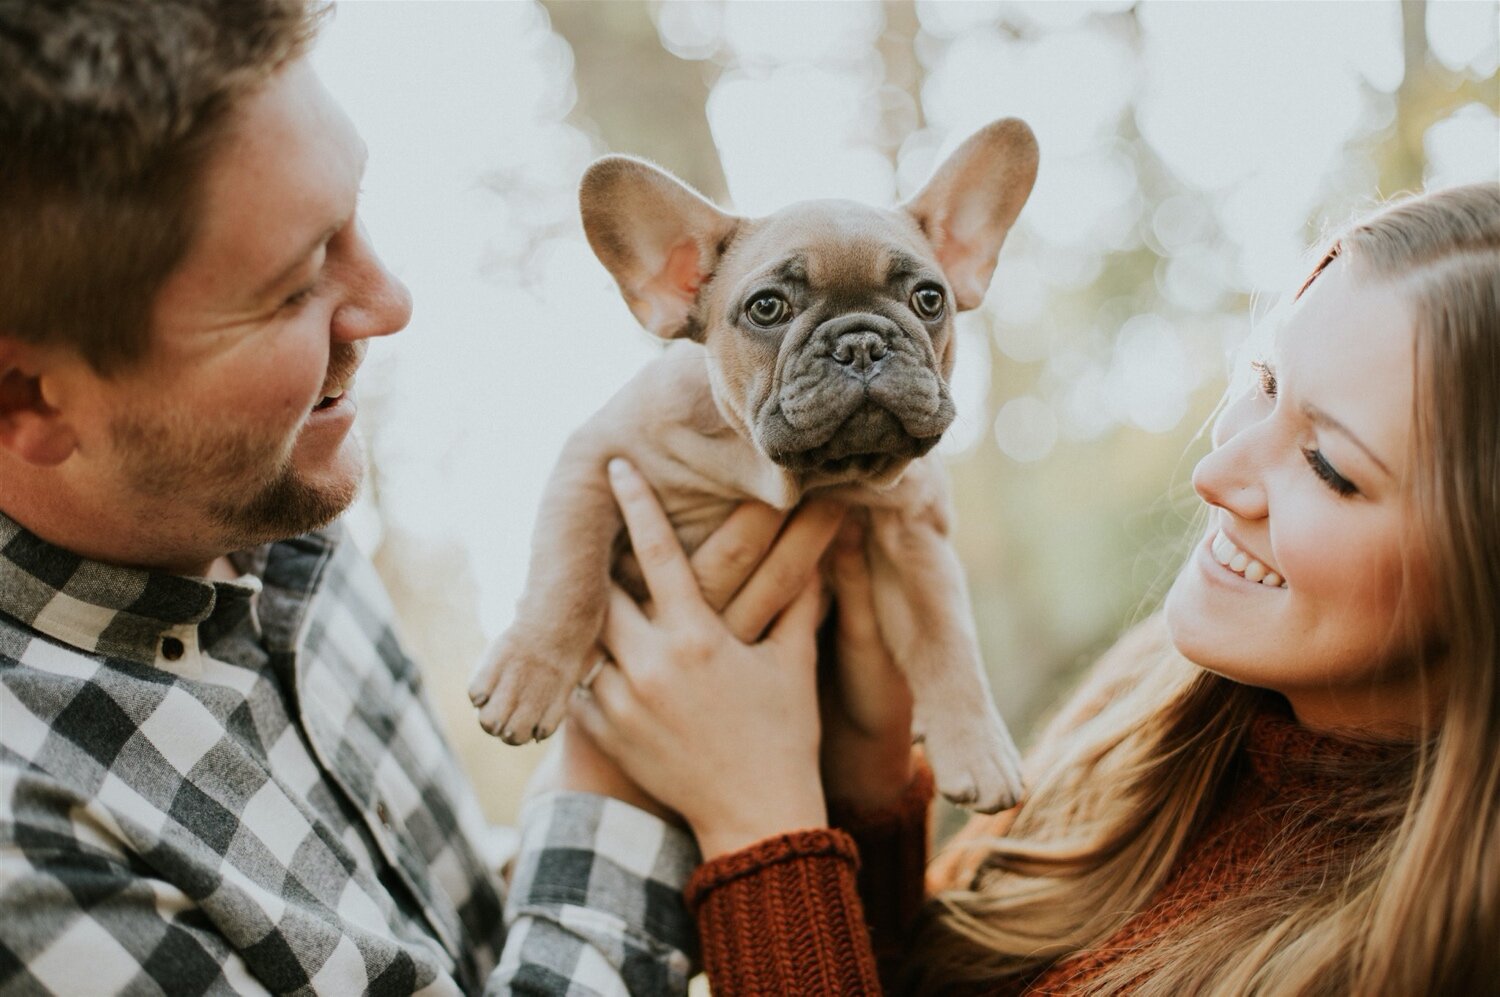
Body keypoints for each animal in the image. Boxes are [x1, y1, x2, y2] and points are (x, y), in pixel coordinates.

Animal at [474, 120, 1038, 815]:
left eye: (930, 298)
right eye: (767, 308)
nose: (861, 341)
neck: (781, 474)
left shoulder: (914, 534)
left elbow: (946, 636)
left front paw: (978, 749)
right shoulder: (595, 460)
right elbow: (568, 573)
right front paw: (528, 673)